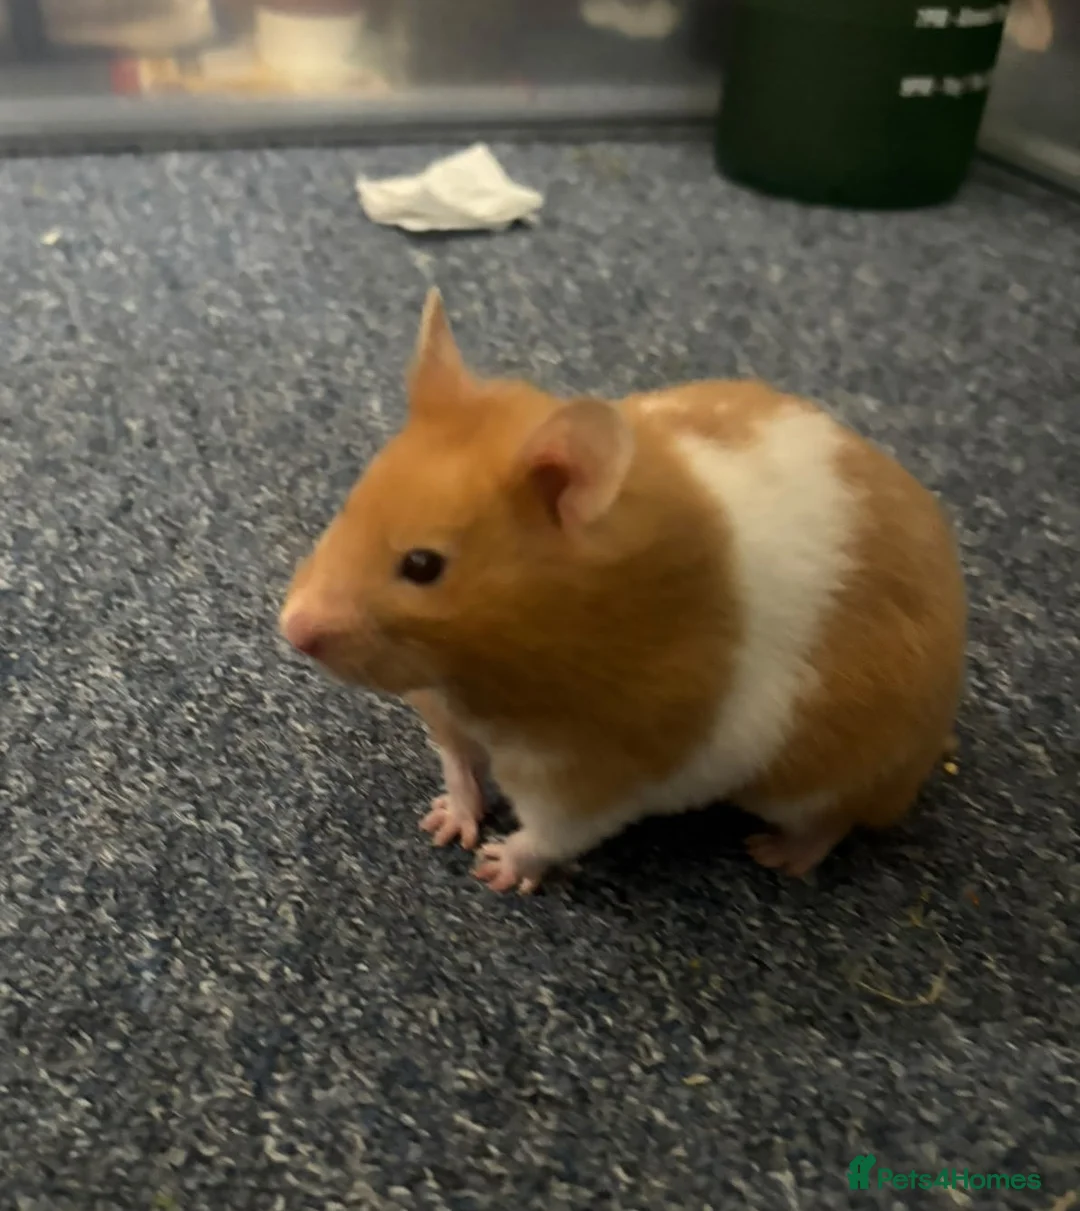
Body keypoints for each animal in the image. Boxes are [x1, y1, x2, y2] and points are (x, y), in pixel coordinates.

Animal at [280, 289, 966, 893]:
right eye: (349, 506)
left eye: (422, 565)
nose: (290, 629)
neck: (480, 679)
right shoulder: (448, 711)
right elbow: (458, 766)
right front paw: (445, 826)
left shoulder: (599, 772)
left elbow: (553, 832)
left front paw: (495, 869)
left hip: (829, 774)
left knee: (834, 819)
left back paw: (776, 855)